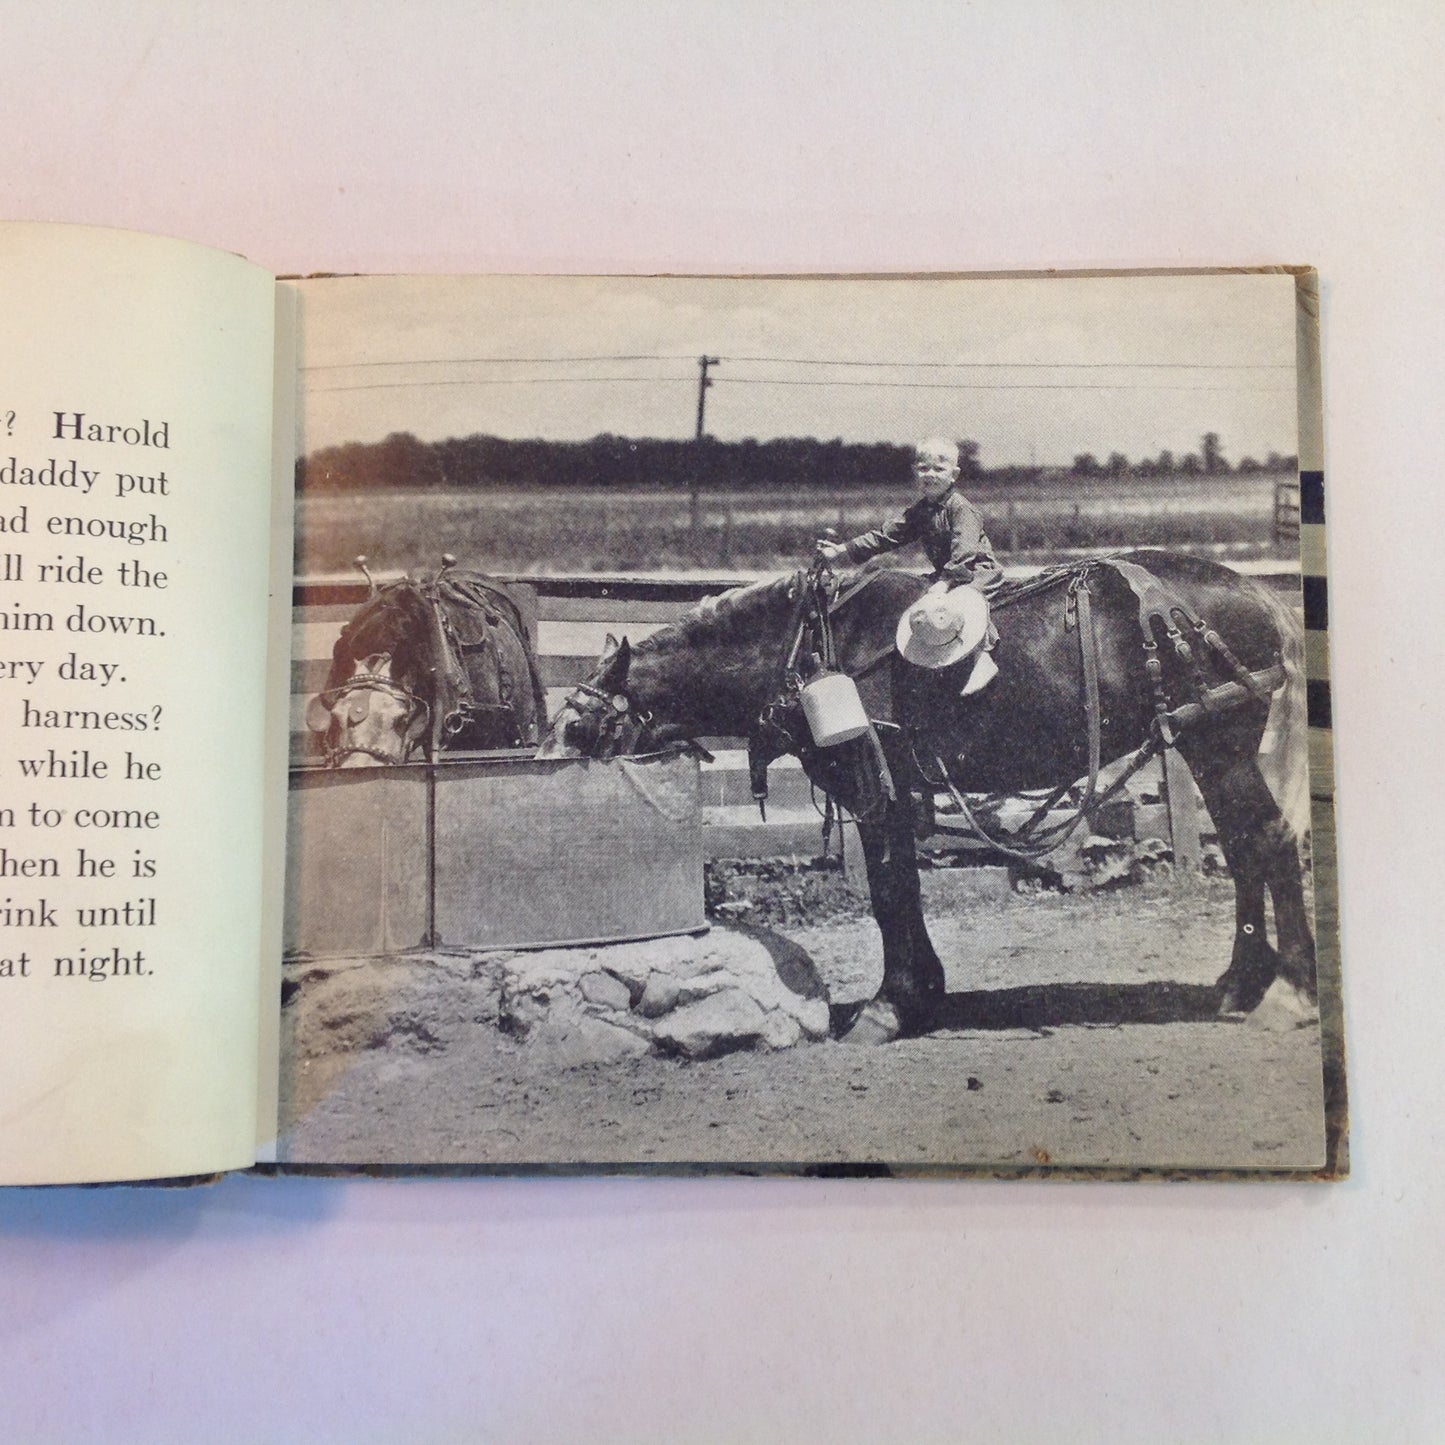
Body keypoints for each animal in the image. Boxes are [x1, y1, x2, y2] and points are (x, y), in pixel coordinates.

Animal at [537, 549, 1317, 1040]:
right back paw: (1239, 984)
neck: (809, 652)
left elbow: (889, 893)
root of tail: (1256, 595)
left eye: (577, 725)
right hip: (1207, 746)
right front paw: (921, 995)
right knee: (1245, 850)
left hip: (1219, 744)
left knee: (1269, 843)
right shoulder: (892, 793)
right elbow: (902, 892)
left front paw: (892, 1005)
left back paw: (1289, 991)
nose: (541, 777)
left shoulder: (875, 788)